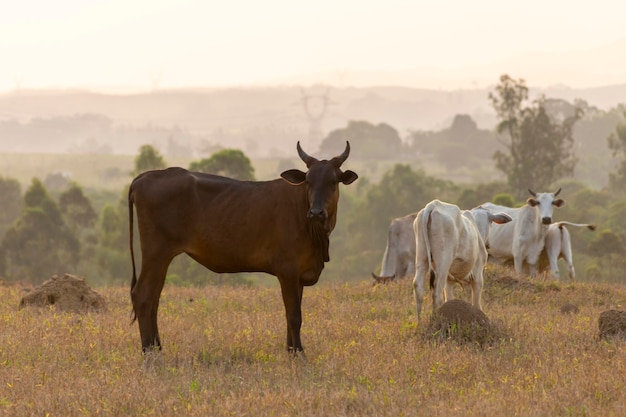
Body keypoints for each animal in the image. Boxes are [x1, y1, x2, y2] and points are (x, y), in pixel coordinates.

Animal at [128, 141, 356, 352]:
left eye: (333, 181)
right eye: (308, 181)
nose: (316, 212)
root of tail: (145, 177)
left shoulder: (298, 275)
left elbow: (292, 315)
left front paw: (291, 351)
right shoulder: (287, 271)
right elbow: (294, 316)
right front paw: (299, 354)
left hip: (162, 258)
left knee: (154, 298)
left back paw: (157, 349)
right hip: (155, 253)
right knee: (143, 295)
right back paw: (149, 352)